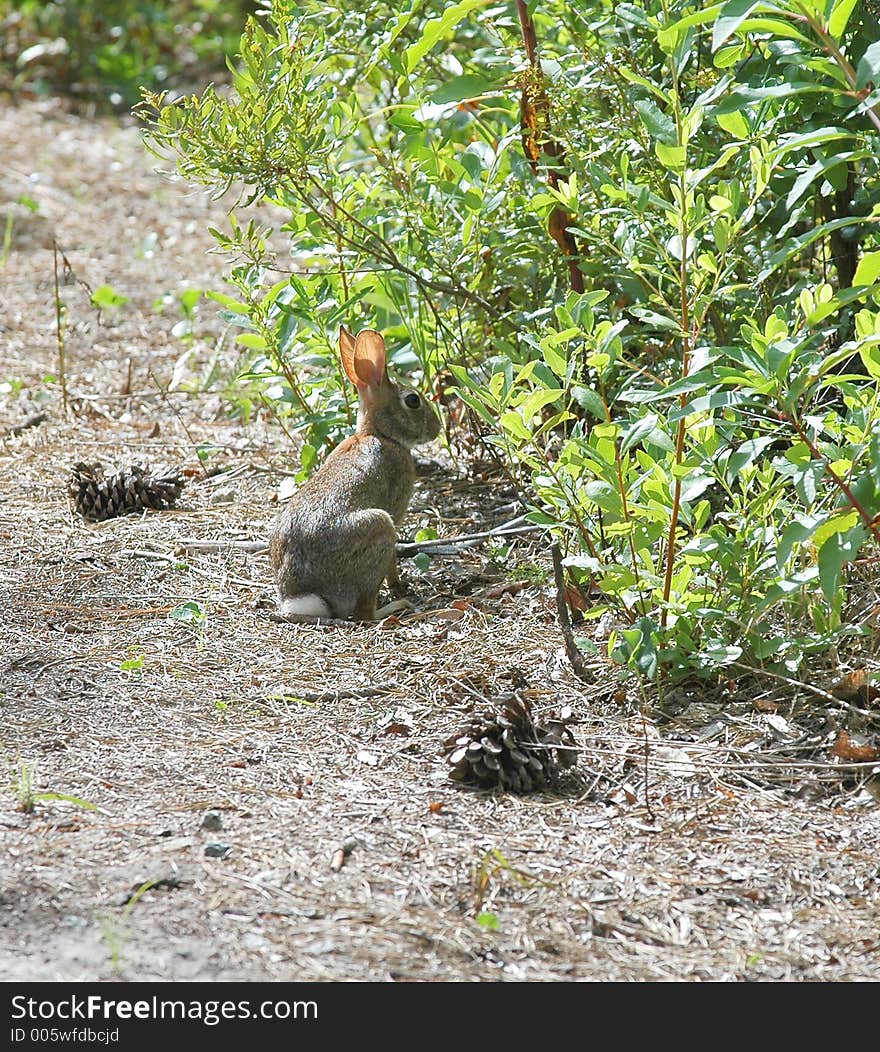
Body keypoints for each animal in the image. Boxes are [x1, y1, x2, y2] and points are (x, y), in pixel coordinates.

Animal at [269, 326, 439, 614]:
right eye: (413, 400)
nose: (437, 429)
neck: (379, 434)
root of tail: (303, 596)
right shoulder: (396, 513)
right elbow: (393, 561)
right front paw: (399, 586)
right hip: (380, 526)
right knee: (365, 612)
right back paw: (395, 606)